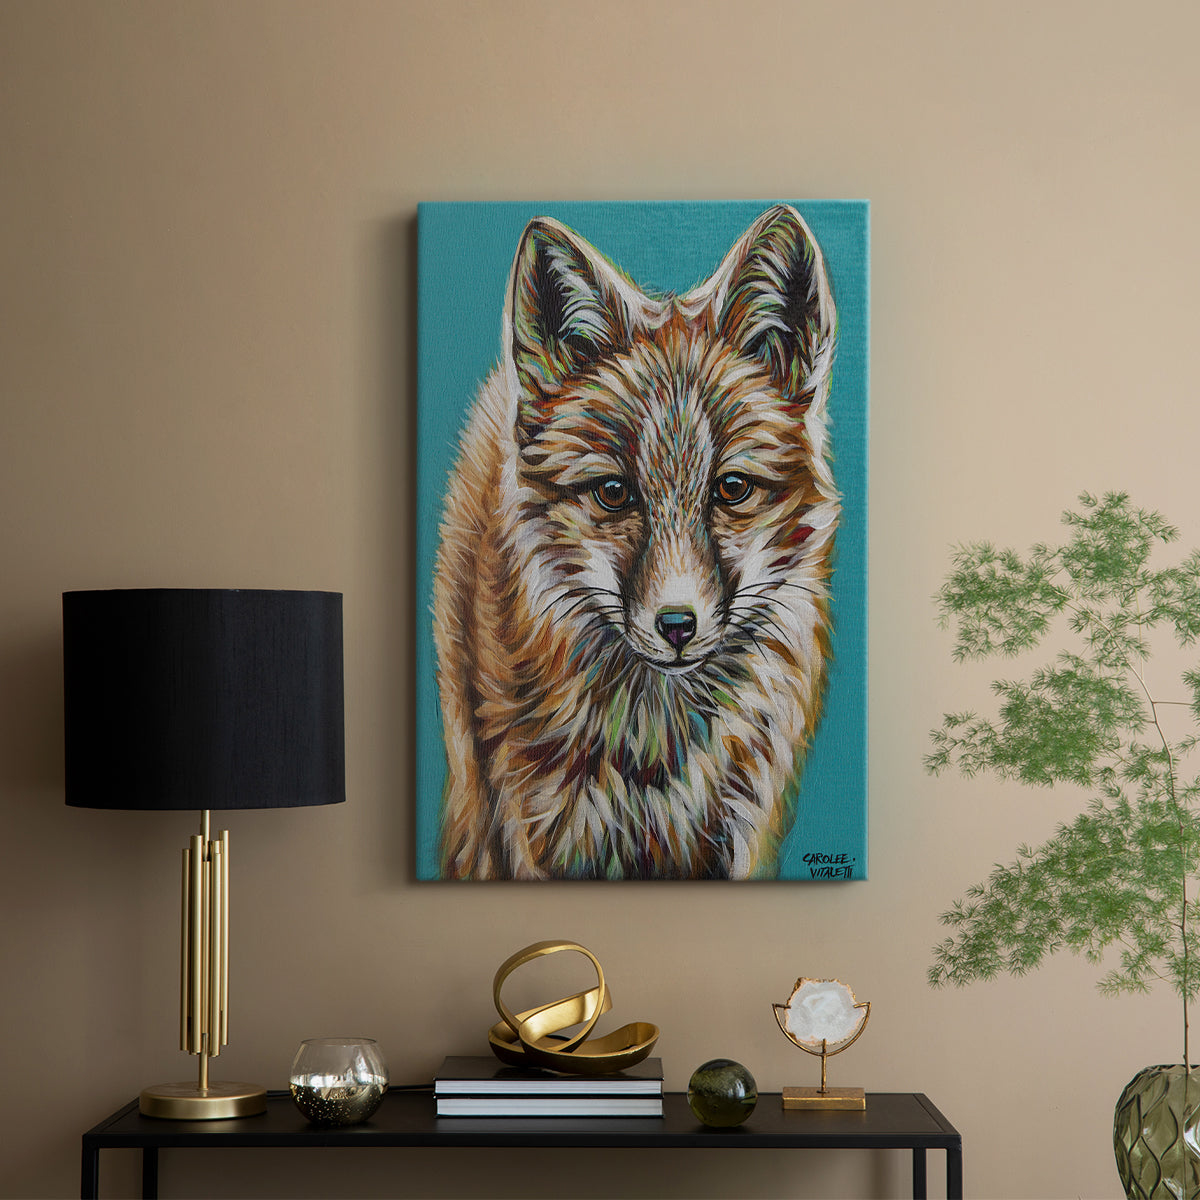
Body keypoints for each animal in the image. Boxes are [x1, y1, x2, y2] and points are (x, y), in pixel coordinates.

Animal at [432, 204, 839, 880]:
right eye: (614, 492)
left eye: (731, 488)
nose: (677, 626)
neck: (655, 758)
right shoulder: (531, 829)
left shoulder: (740, 830)